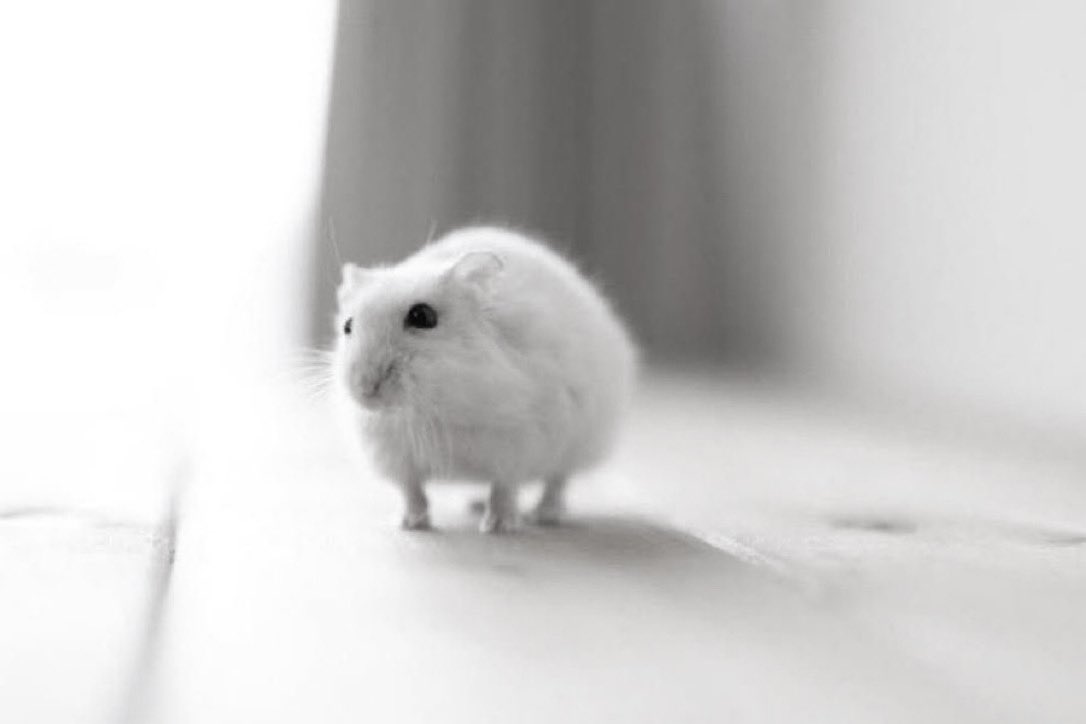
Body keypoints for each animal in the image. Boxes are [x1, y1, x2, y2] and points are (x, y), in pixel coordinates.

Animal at [332, 226, 637, 533]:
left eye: (422, 316)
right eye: (348, 326)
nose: (364, 388)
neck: (432, 408)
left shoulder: (518, 443)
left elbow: (505, 487)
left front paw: (499, 527)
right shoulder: (394, 455)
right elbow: (412, 491)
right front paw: (409, 525)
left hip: (577, 445)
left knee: (557, 481)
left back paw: (543, 515)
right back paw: (474, 504)